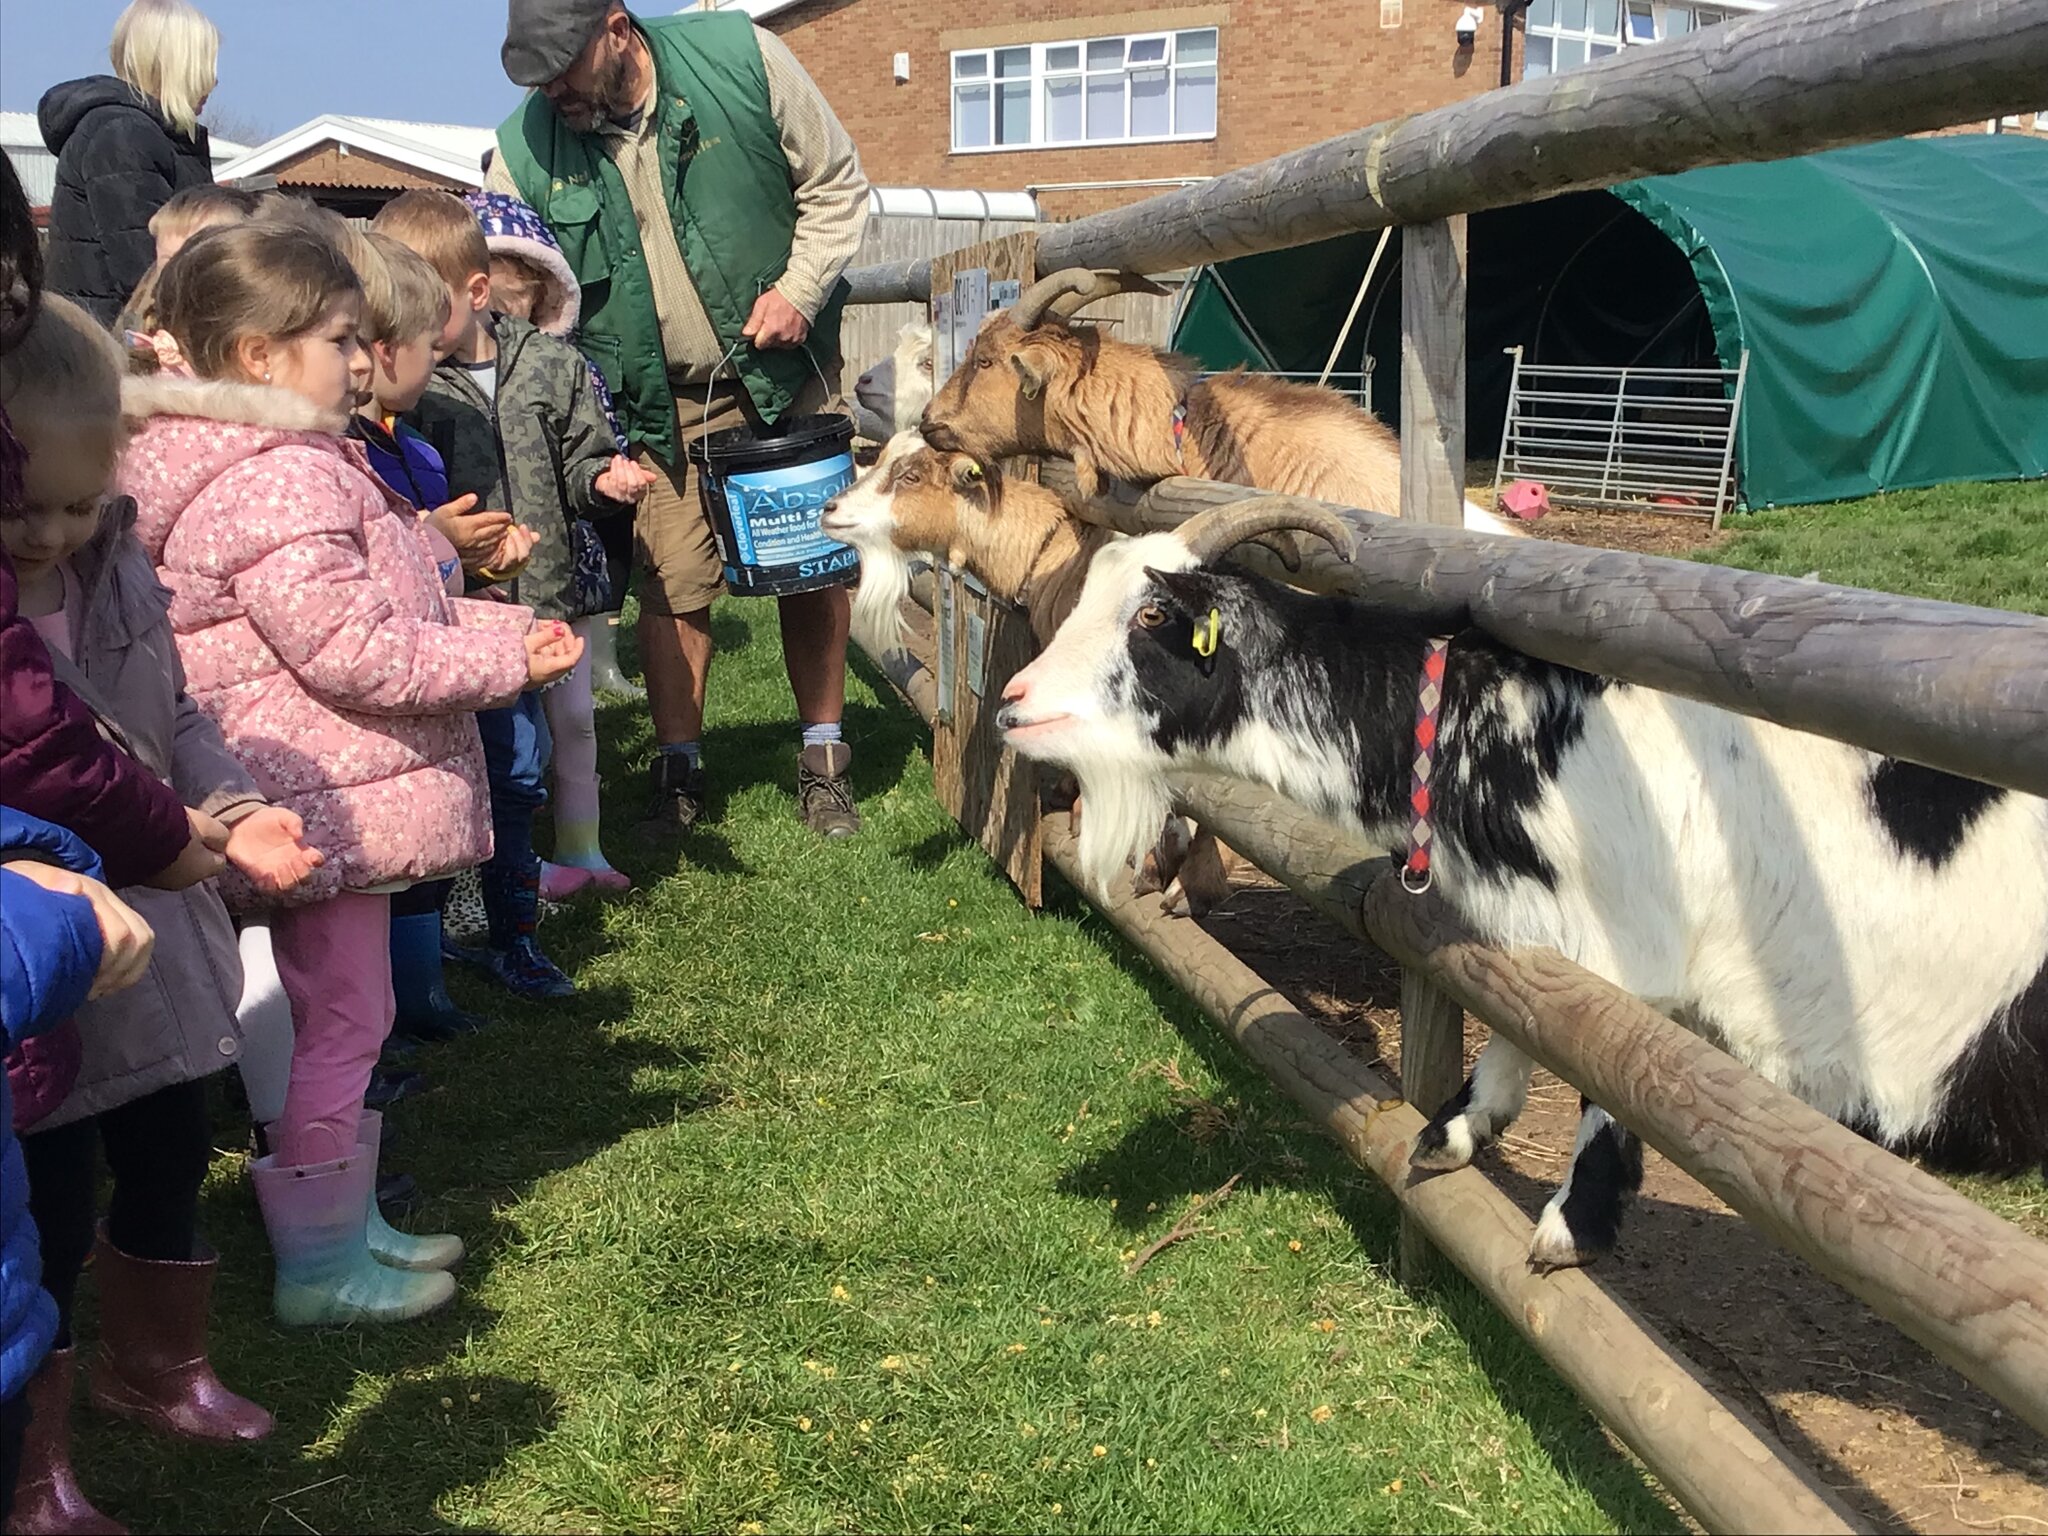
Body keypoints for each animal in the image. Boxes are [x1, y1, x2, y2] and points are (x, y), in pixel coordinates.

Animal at [995, 505, 2048, 1277]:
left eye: (1151, 618)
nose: (1011, 704)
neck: (1516, 729)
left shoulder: (1639, 955)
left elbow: (1607, 1078)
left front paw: (1569, 1228)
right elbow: (1520, 1024)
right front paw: (1453, 1132)